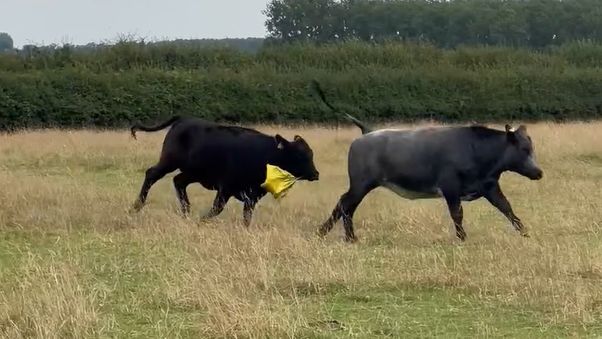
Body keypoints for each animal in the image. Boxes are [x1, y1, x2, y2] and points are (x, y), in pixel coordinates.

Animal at [130, 117, 318, 226]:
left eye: (311, 154)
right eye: (299, 155)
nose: (316, 174)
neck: (265, 155)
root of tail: (183, 120)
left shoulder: (252, 196)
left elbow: (247, 217)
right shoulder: (226, 187)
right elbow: (217, 208)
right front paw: (202, 221)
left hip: (194, 172)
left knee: (178, 181)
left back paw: (186, 212)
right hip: (169, 161)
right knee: (152, 174)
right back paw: (137, 205)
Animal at [312, 84, 540, 243]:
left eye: (531, 148)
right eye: (523, 149)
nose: (539, 172)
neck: (476, 150)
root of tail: (367, 133)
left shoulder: (490, 187)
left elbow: (507, 209)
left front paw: (526, 234)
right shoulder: (450, 188)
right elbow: (457, 214)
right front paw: (462, 238)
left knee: (347, 207)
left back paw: (347, 237)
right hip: (361, 184)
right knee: (344, 205)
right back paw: (330, 234)